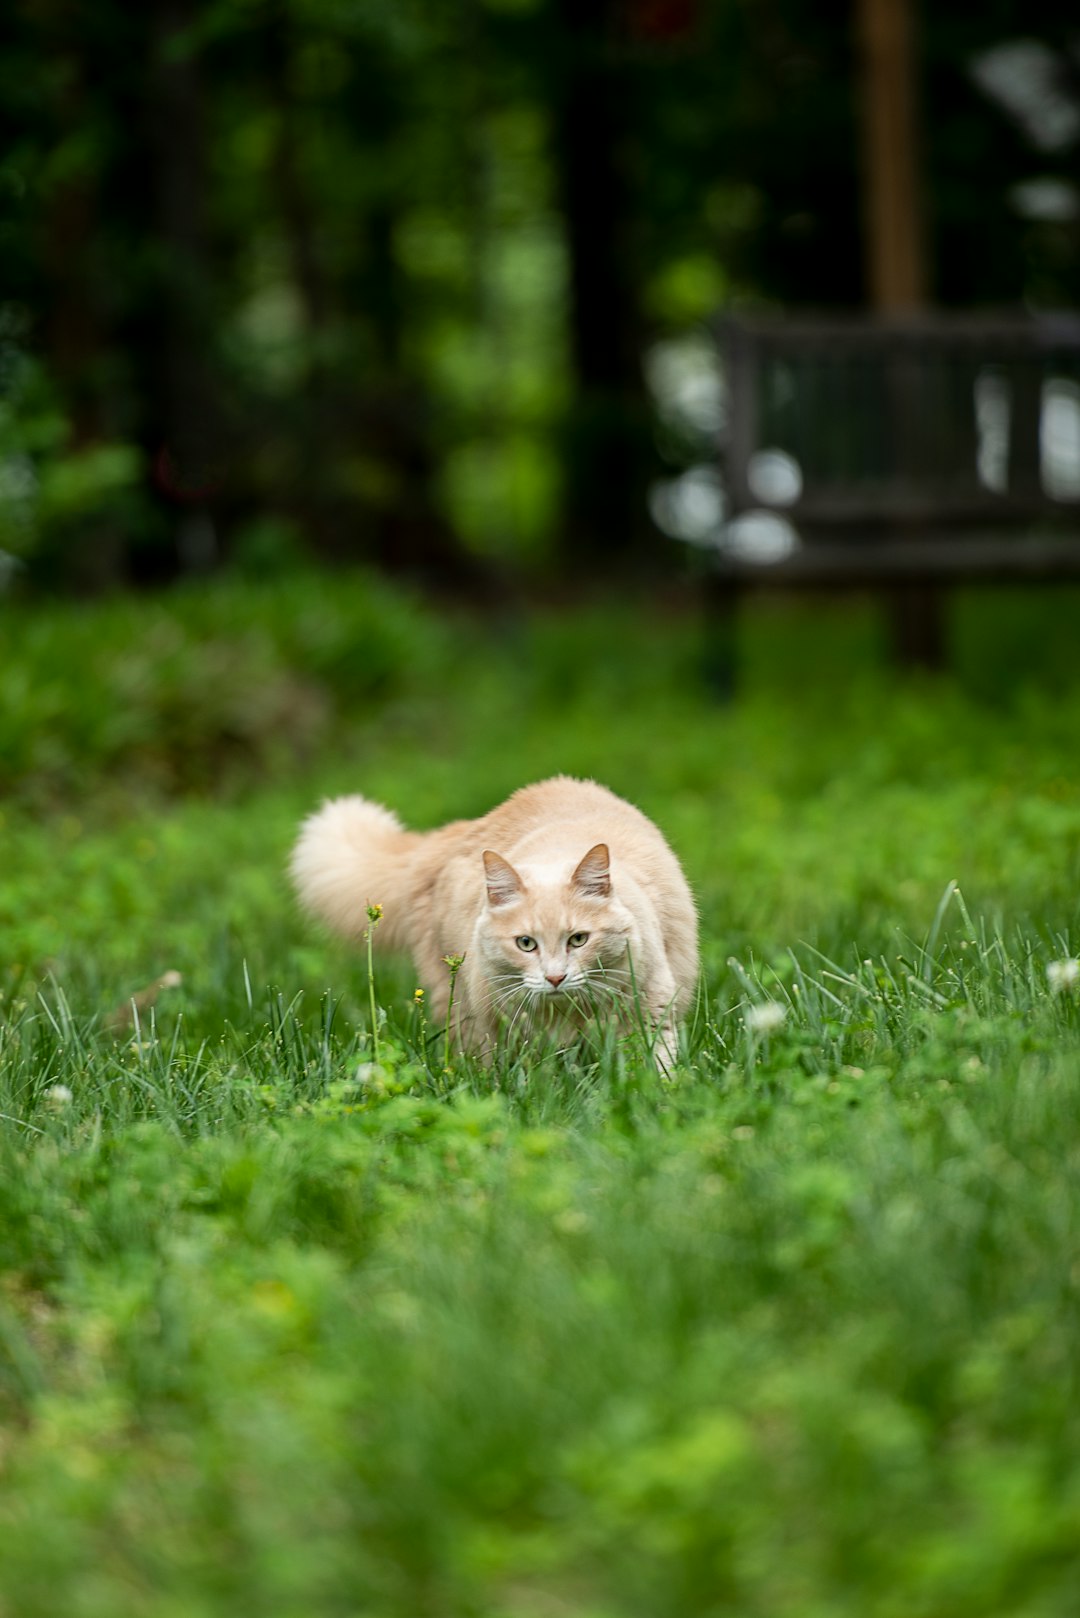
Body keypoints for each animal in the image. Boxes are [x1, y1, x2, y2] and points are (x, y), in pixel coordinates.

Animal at [289, 776, 702, 1067]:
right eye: (526, 944)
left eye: (578, 940)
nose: (555, 978)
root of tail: (454, 832)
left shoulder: (653, 1013)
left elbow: (654, 1072)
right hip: (458, 1006)